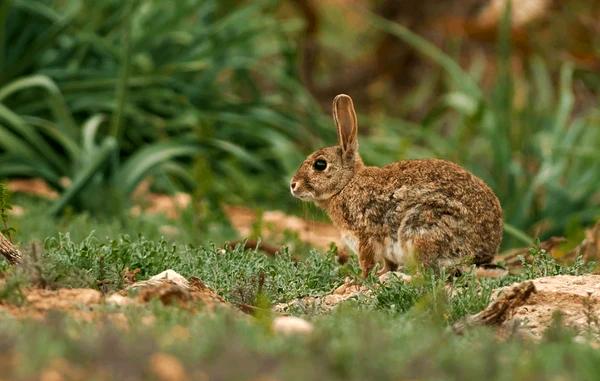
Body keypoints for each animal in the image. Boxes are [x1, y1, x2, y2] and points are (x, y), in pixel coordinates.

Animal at [290, 93, 502, 274]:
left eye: (320, 164)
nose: (293, 185)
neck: (346, 184)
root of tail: (483, 253)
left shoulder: (364, 235)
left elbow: (367, 262)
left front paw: (358, 281)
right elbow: (387, 264)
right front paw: (382, 274)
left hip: (422, 229)